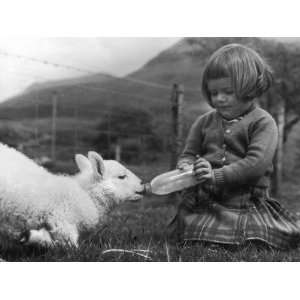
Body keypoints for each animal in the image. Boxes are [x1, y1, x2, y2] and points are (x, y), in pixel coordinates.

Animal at [0, 144, 145, 247]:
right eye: (122, 177)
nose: (142, 184)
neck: (85, 195)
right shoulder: (62, 222)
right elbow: (67, 245)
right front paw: (34, 238)